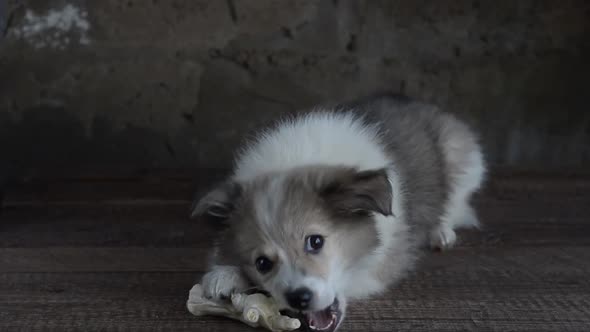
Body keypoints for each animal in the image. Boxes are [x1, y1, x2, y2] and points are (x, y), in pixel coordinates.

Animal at [192, 94, 488, 332]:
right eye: (262, 263)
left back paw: (440, 231)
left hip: (463, 158)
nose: (299, 298)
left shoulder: (383, 265)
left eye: (315, 241)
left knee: (456, 204)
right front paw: (225, 274)